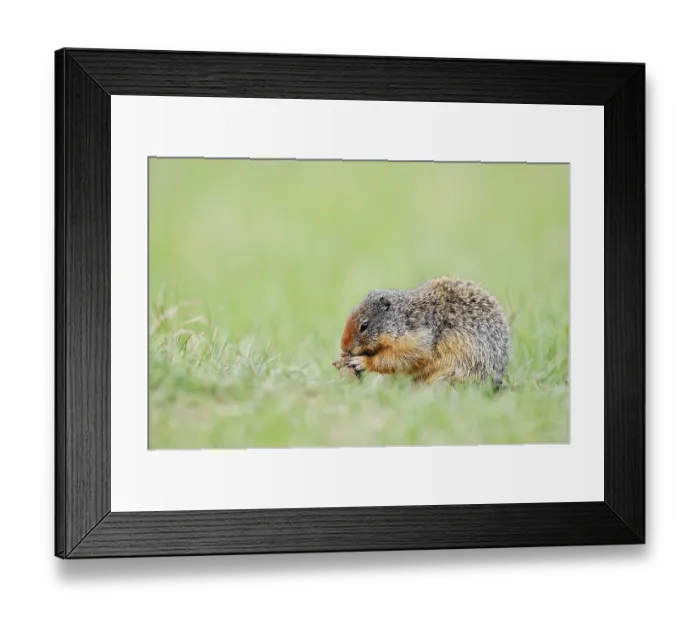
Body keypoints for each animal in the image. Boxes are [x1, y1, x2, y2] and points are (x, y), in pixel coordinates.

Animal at [332, 276, 510, 388]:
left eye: (364, 325)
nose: (344, 347)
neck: (404, 317)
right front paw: (341, 359)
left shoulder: (417, 339)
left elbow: (401, 358)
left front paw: (362, 361)